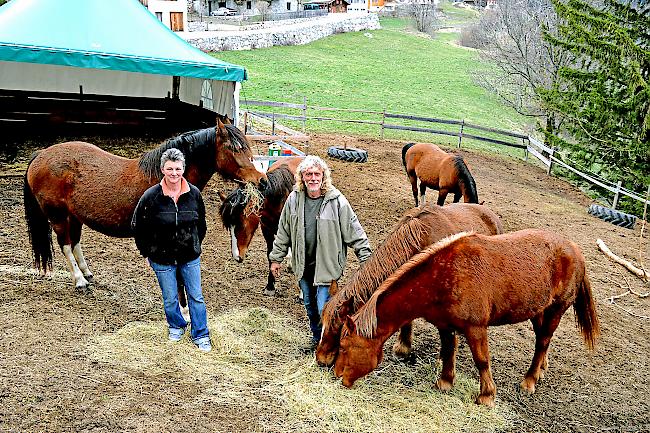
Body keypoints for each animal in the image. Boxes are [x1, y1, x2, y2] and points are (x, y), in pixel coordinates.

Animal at [23, 119, 266, 290]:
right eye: (234, 148)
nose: (261, 180)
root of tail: (41, 154)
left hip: (74, 217)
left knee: (74, 243)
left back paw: (86, 273)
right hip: (57, 216)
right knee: (65, 244)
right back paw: (79, 280)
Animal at [216, 157, 300, 296]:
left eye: (241, 224)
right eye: (229, 227)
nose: (237, 256)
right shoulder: (268, 230)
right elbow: (271, 255)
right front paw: (270, 286)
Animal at [334, 230, 596, 404]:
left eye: (344, 346)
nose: (337, 376)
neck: (444, 276)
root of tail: (575, 250)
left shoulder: (475, 328)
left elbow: (481, 360)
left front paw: (486, 396)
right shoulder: (445, 325)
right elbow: (449, 351)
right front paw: (445, 382)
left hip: (556, 309)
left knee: (543, 341)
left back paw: (529, 381)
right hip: (538, 309)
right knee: (543, 340)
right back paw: (540, 369)